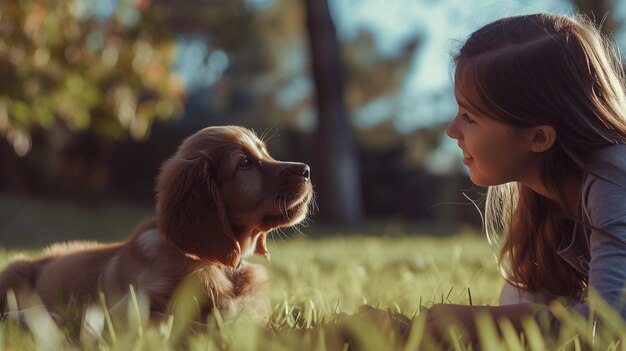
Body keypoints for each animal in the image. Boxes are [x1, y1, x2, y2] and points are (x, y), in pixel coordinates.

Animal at [0, 126, 312, 324]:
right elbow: (186, 324)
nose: (307, 170)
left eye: (266, 153)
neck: (216, 264)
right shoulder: (127, 310)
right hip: (13, 273)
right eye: (245, 162)